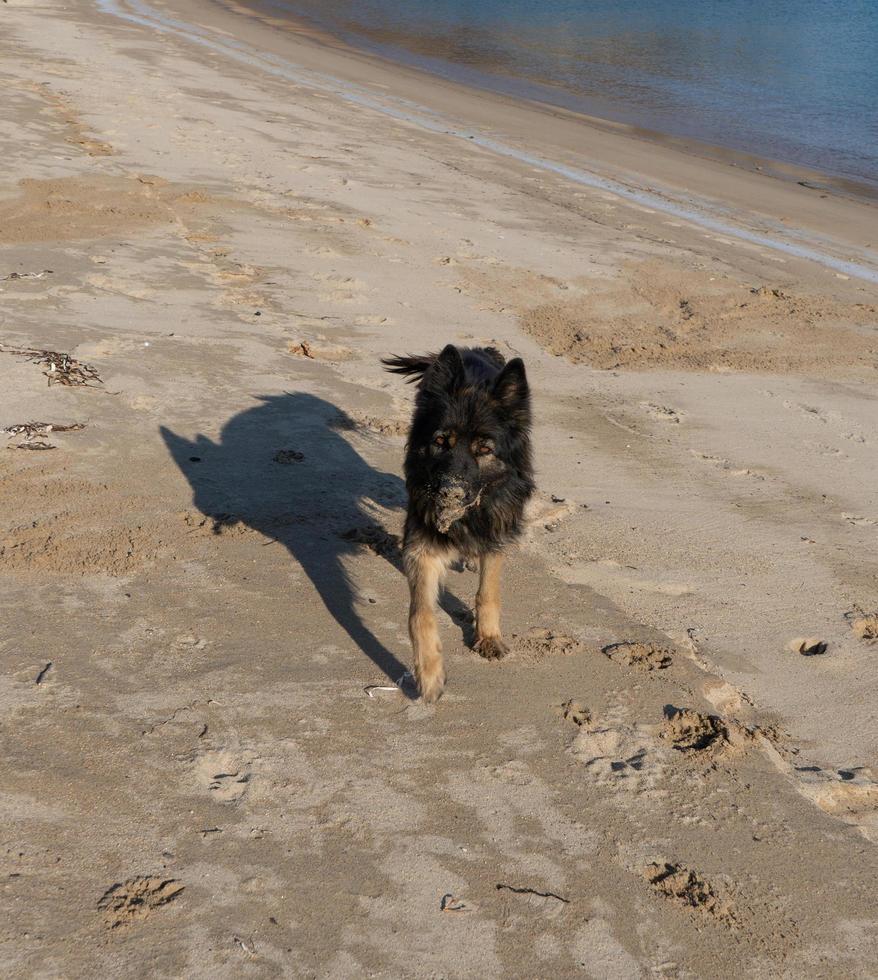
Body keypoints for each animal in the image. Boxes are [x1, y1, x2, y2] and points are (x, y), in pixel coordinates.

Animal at [382, 348, 532, 700]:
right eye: (441, 441)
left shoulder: (496, 531)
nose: (449, 491)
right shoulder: (422, 545)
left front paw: (488, 636)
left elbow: (488, 590)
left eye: (484, 449)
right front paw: (429, 673)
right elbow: (420, 614)